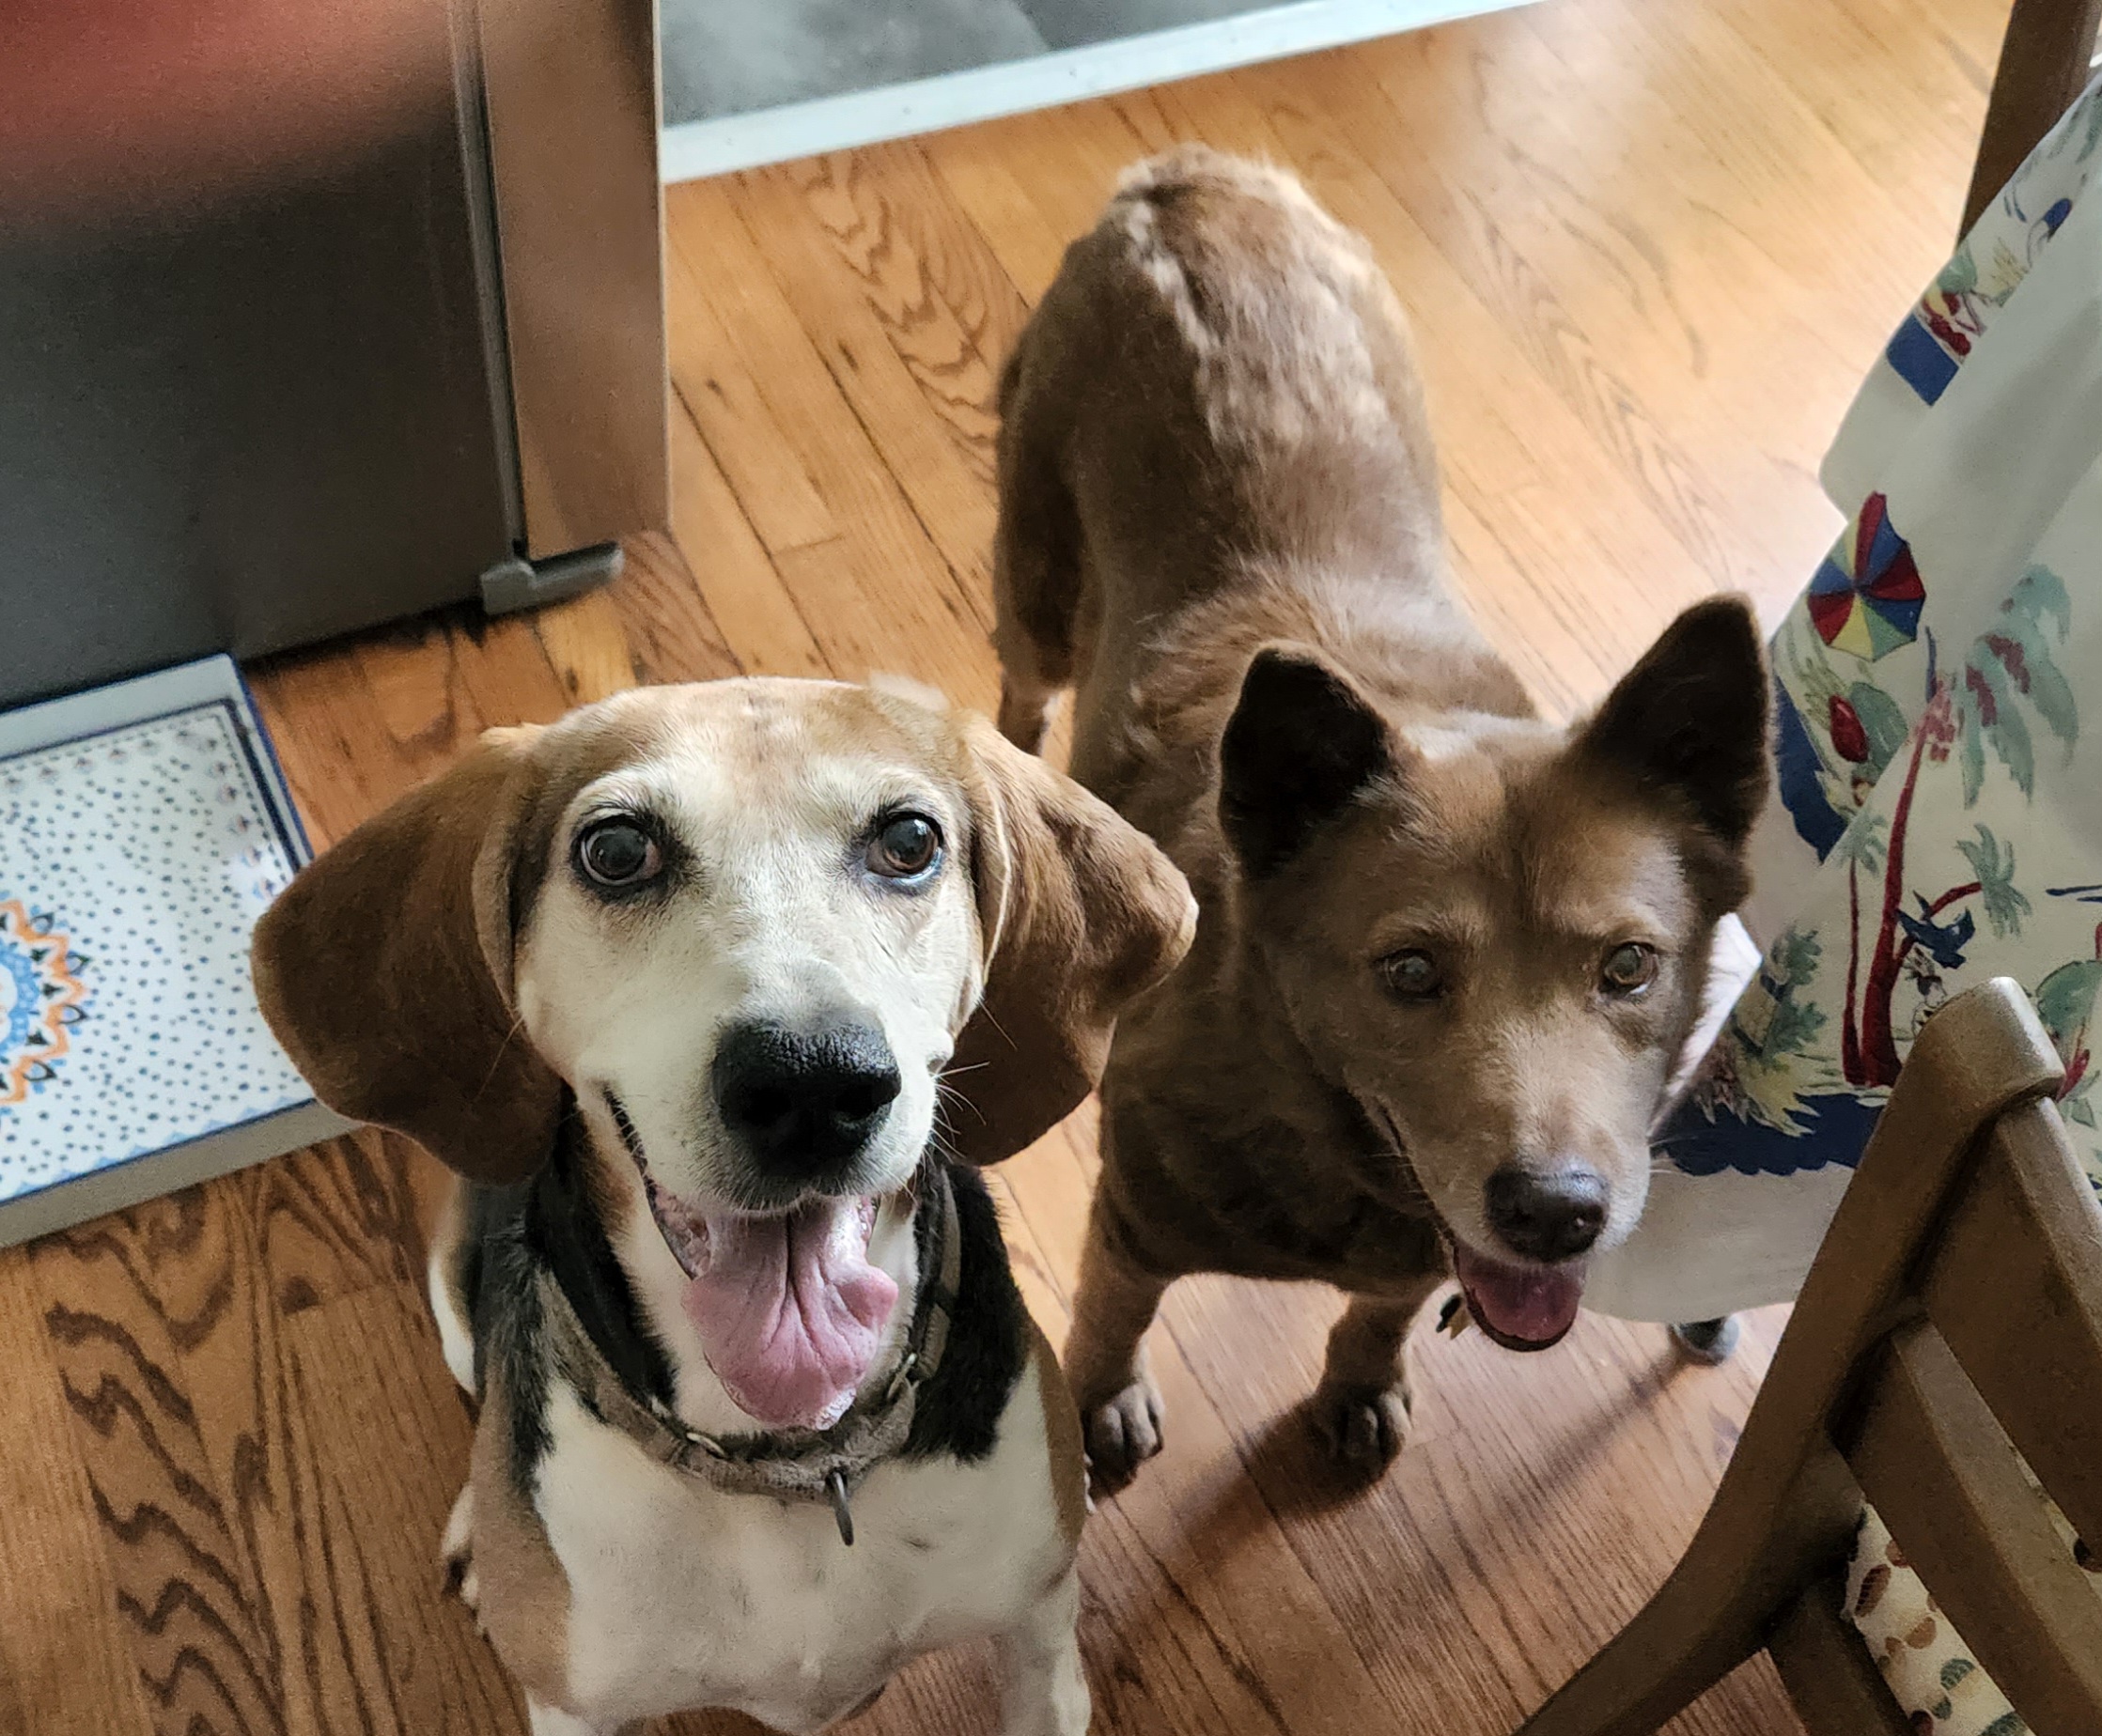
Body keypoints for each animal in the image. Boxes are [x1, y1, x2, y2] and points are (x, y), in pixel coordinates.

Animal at [251, 677, 1195, 1735]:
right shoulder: (571, 1707)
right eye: (616, 851)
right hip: (450, 1286)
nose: (814, 1086)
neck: (788, 1460)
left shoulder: (1039, 1637)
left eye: (909, 841)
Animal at [991, 148, 1772, 1488]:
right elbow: (1107, 1317)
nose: (1555, 1216)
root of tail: (1194, 186)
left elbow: (1382, 1310)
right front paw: (1096, 1408)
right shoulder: (1133, 1222)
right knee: (1022, 682)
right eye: (1407, 972)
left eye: (1629, 967)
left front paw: (1358, 1383)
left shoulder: (1419, 1252)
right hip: (1034, 582)